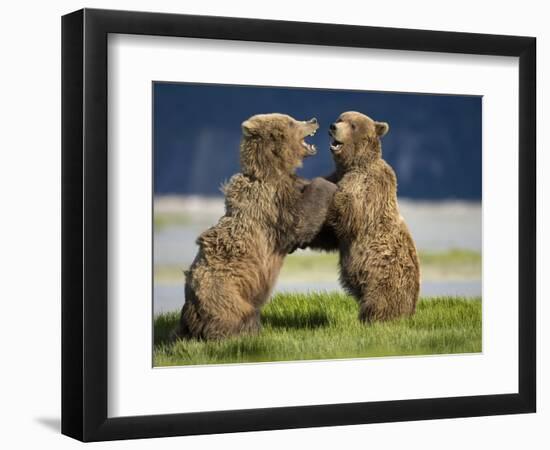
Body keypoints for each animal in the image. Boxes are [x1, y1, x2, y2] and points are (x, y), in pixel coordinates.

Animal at [177, 114, 340, 340]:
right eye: (292, 122)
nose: (313, 120)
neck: (273, 171)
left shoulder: (288, 188)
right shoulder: (272, 204)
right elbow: (301, 221)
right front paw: (329, 184)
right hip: (225, 293)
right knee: (234, 316)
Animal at [308, 112, 420, 324]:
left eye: (353, 125)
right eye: (340, 118)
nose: (333, 126)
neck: (352, 165)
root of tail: (412, 309)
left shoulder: (368, 187)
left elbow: (350, 213)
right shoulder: (338, 175)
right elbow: (332, 233)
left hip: (384, 278)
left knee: (379, 302)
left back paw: (370, 319)